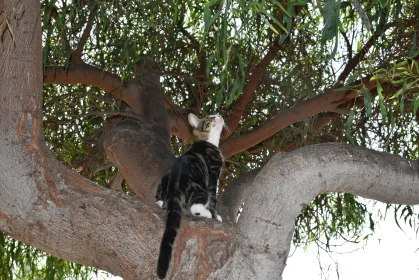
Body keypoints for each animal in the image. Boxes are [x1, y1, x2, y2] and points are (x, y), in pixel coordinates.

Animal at [155, 112, 226, 278]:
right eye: (210, 118)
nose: (219, 115)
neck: (209, 141)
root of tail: (173, 189)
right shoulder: (213, 176)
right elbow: (213, 199)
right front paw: (215, 215)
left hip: (162, 183)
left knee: (160, 202)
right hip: (200, 189)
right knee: (196, 208)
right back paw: (206, 214)